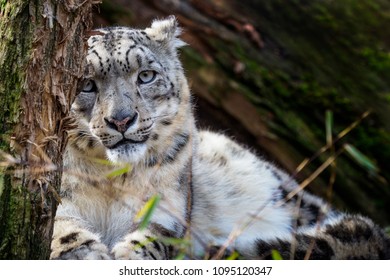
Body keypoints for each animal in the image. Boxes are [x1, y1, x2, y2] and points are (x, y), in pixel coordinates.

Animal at [49, 15, 390, 260]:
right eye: (86, 84)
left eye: (145, 75)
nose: (121, 119)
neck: (112, 179)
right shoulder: (56, 189)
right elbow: (61, 228)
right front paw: (86, 255)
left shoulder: (167, 202)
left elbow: (156, 236)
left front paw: (131, 256)